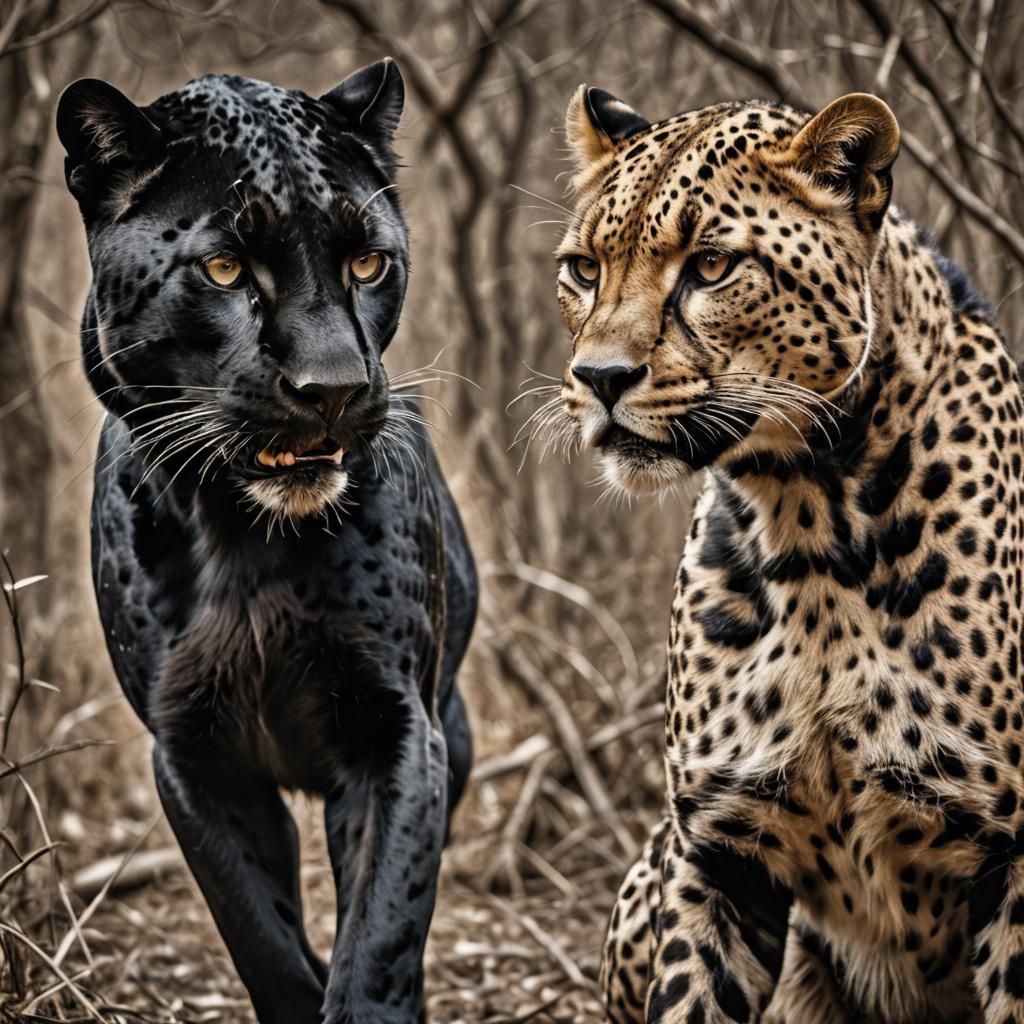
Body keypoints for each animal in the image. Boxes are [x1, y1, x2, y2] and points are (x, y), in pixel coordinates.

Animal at [56, 60, 477, 1024]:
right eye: (224, 268)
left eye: (367, 261)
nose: (334, 387)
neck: (243, 540)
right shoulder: (195, 758)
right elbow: (262, 940)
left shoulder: (398, 733)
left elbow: (380, 939)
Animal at [552, 84, 1024, 1023]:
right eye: (584, 269)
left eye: (710, 266)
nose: (598, 378)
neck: (808, 521)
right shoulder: (718, 849)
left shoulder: (1015, 856)